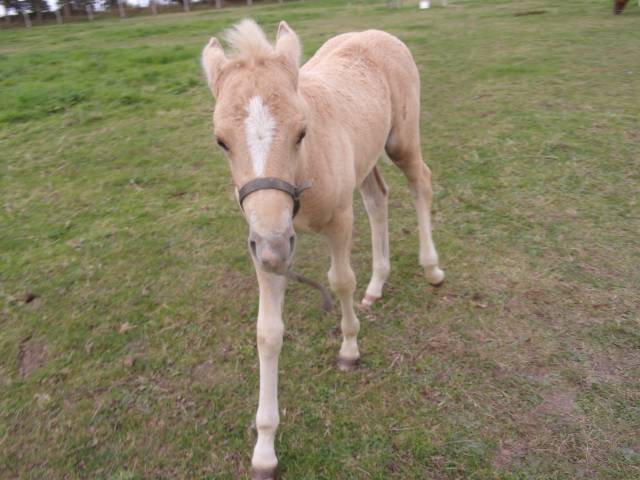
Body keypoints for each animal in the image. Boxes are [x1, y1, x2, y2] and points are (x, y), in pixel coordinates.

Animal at [202, 18, 442, 476]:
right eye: (221, 141)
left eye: (302, 131)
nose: (275, 249)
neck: (303, 175)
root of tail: (376, 32)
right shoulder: (263, 240)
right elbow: (268, 333)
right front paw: (265, 449)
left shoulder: (338, 222)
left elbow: (341, 281)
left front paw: (349, 350)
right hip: (364, 160)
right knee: (378, 197)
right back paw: (377, 285)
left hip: (402, 139)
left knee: (420, 181)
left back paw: (432, 268)